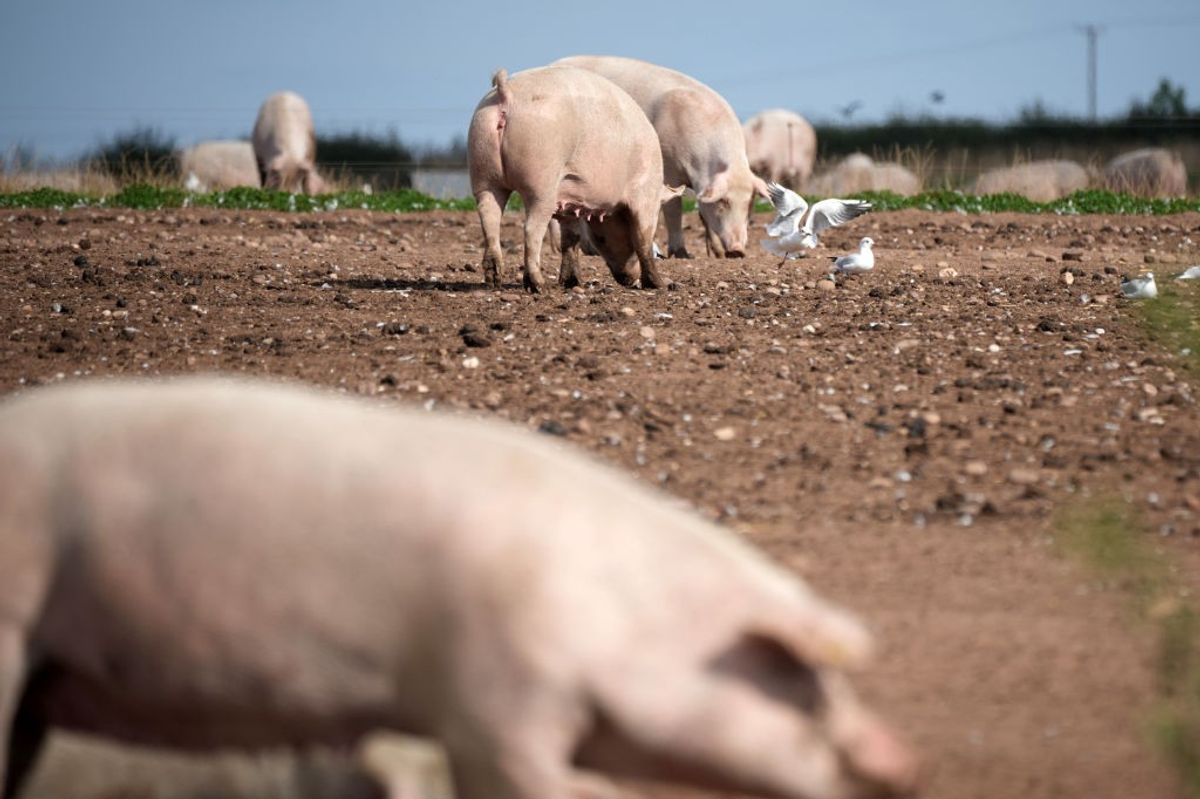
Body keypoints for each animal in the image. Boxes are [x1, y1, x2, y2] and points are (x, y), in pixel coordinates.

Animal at [467, 67, 681, 293]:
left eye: (601, 239)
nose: (628, 279)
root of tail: (505, 92)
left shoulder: (569, 201)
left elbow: (571, 239)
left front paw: (572, 283)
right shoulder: (645, 194)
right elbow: (643, 239)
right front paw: (660, 285)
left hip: (482, 167)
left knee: (489, 217)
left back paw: (493, 281)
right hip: (541, 178)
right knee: (531, 229)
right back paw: (538, 285)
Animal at [554, 55, 770, 259]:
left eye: (749, 203)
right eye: (723, 201)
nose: (737, 250)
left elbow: (703, 216)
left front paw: (716, 254)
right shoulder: (669, 168)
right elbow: (674, 209)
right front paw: (682, 254)